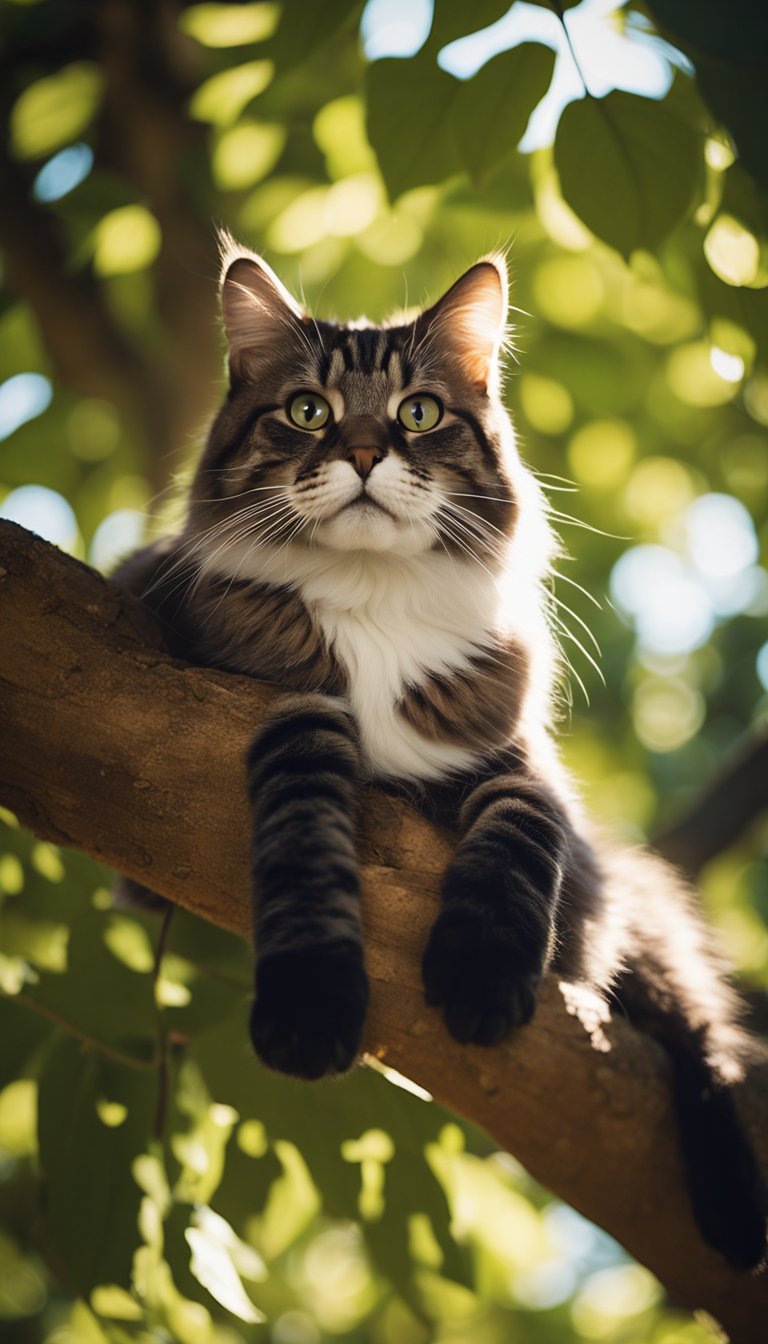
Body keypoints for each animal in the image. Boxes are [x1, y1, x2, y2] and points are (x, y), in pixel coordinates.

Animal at [117, 236, 763, 1274]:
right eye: (309, 411)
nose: (365, 454)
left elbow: (518, 838)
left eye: (418, 412)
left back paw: (737, 1212)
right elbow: (306, 830)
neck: (373, 597)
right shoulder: (282, 710)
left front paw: (483, 973)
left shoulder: (517, 759)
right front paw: (310, 1007)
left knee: (704, 1037)